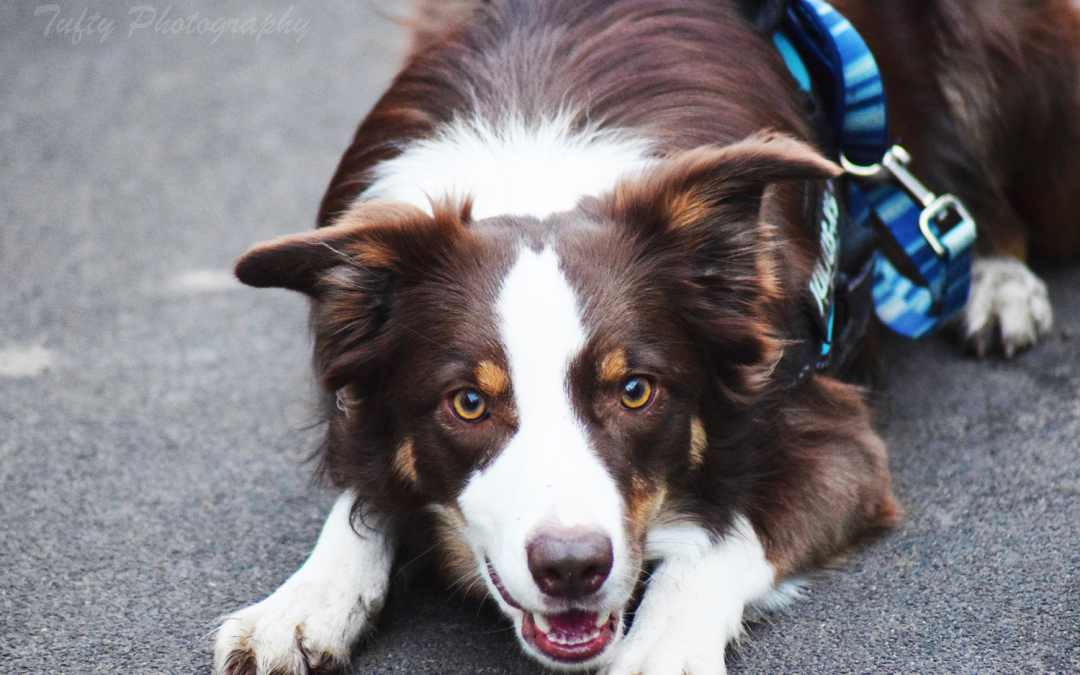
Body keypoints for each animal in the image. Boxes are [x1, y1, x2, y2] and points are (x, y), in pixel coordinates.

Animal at [212, 0, 1080, 669]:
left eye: (635, 390)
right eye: (467, 403)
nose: (571, 568)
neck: (533, 167)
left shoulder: (833, 432)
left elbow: (723, 533)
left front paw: (658, 645)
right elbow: (363, 491)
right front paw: (304, 599)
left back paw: (995, 280)